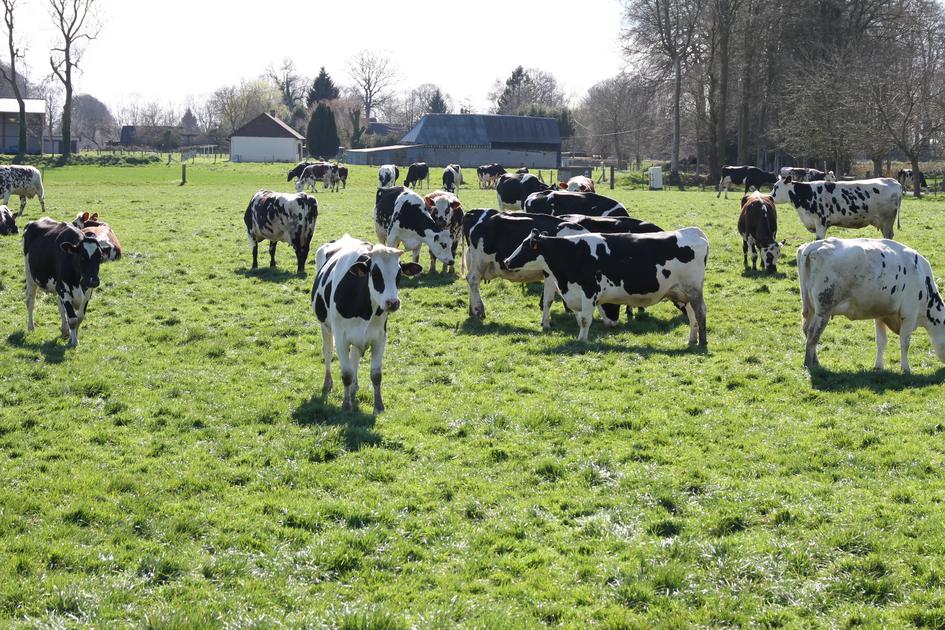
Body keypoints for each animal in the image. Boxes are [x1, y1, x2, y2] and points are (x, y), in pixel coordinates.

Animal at [22, 217, 104, 346]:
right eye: (82, 257)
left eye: (100, 257)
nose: (93, 281)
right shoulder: (63, 290)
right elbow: (73, 319)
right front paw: (74, 342)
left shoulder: (87, 292)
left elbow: (79, 317)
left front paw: (73, 336)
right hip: (30, 277)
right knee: (30, 301)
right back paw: (31, 327)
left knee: (60, 308)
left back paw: (65, 331)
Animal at [312, 236, 422, 414]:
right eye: (375, 273)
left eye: (399, 274)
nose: (393, 303)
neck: (364, 309)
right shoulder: (341, 338)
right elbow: (346, 374)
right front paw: (346, 406)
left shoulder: (379, 337)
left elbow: (376, 375)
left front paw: (378, 406)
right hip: (325, 327)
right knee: (328, 352)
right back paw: (328, 383)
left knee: (355, 356)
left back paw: (354, 387)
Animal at [502, 228, 708, 346]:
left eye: (525, 246)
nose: (506, 261)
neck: (572, 252)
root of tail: (694, 231)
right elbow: (580, 319)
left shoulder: (589, 291)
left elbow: (585, 320)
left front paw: (582, 341)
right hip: (683, 294)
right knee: (692, 316)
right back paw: (692, 340)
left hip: (693, 289)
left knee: (700, 312)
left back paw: (703, 342)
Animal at [768, 178, 900, 242]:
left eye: (776, 187)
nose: (770, 197)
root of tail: (893, 181)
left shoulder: (821, 222)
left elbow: (819, 239)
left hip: (887, 221)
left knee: (889, 236)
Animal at [796, 238, 944, 376]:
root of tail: (814, 245)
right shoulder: (909, 314)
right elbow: (905, 342)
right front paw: (906, 368)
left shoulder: (881, 313)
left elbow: (881, 342)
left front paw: (878, 366)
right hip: (823, 309)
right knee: (813, 334)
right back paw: (809, 364)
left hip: (809, 308)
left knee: (806, 330)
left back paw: (815, 362)